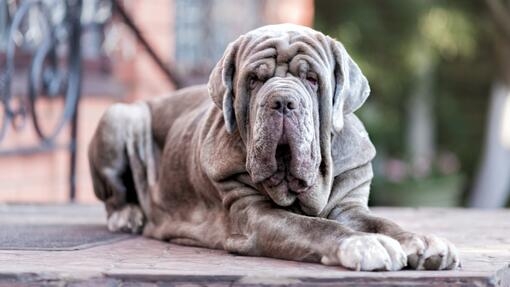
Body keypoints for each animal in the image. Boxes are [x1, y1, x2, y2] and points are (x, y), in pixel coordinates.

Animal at [89, 23, 460, 272]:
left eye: (312, 79)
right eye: (254, 80)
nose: (282, 100)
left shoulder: (350, 206)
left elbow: (383, 223)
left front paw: (423, 241)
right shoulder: (254, 215)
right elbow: (314, 227)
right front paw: (363, 243)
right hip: (122, 116)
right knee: (114, 196)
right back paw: (127, 215)